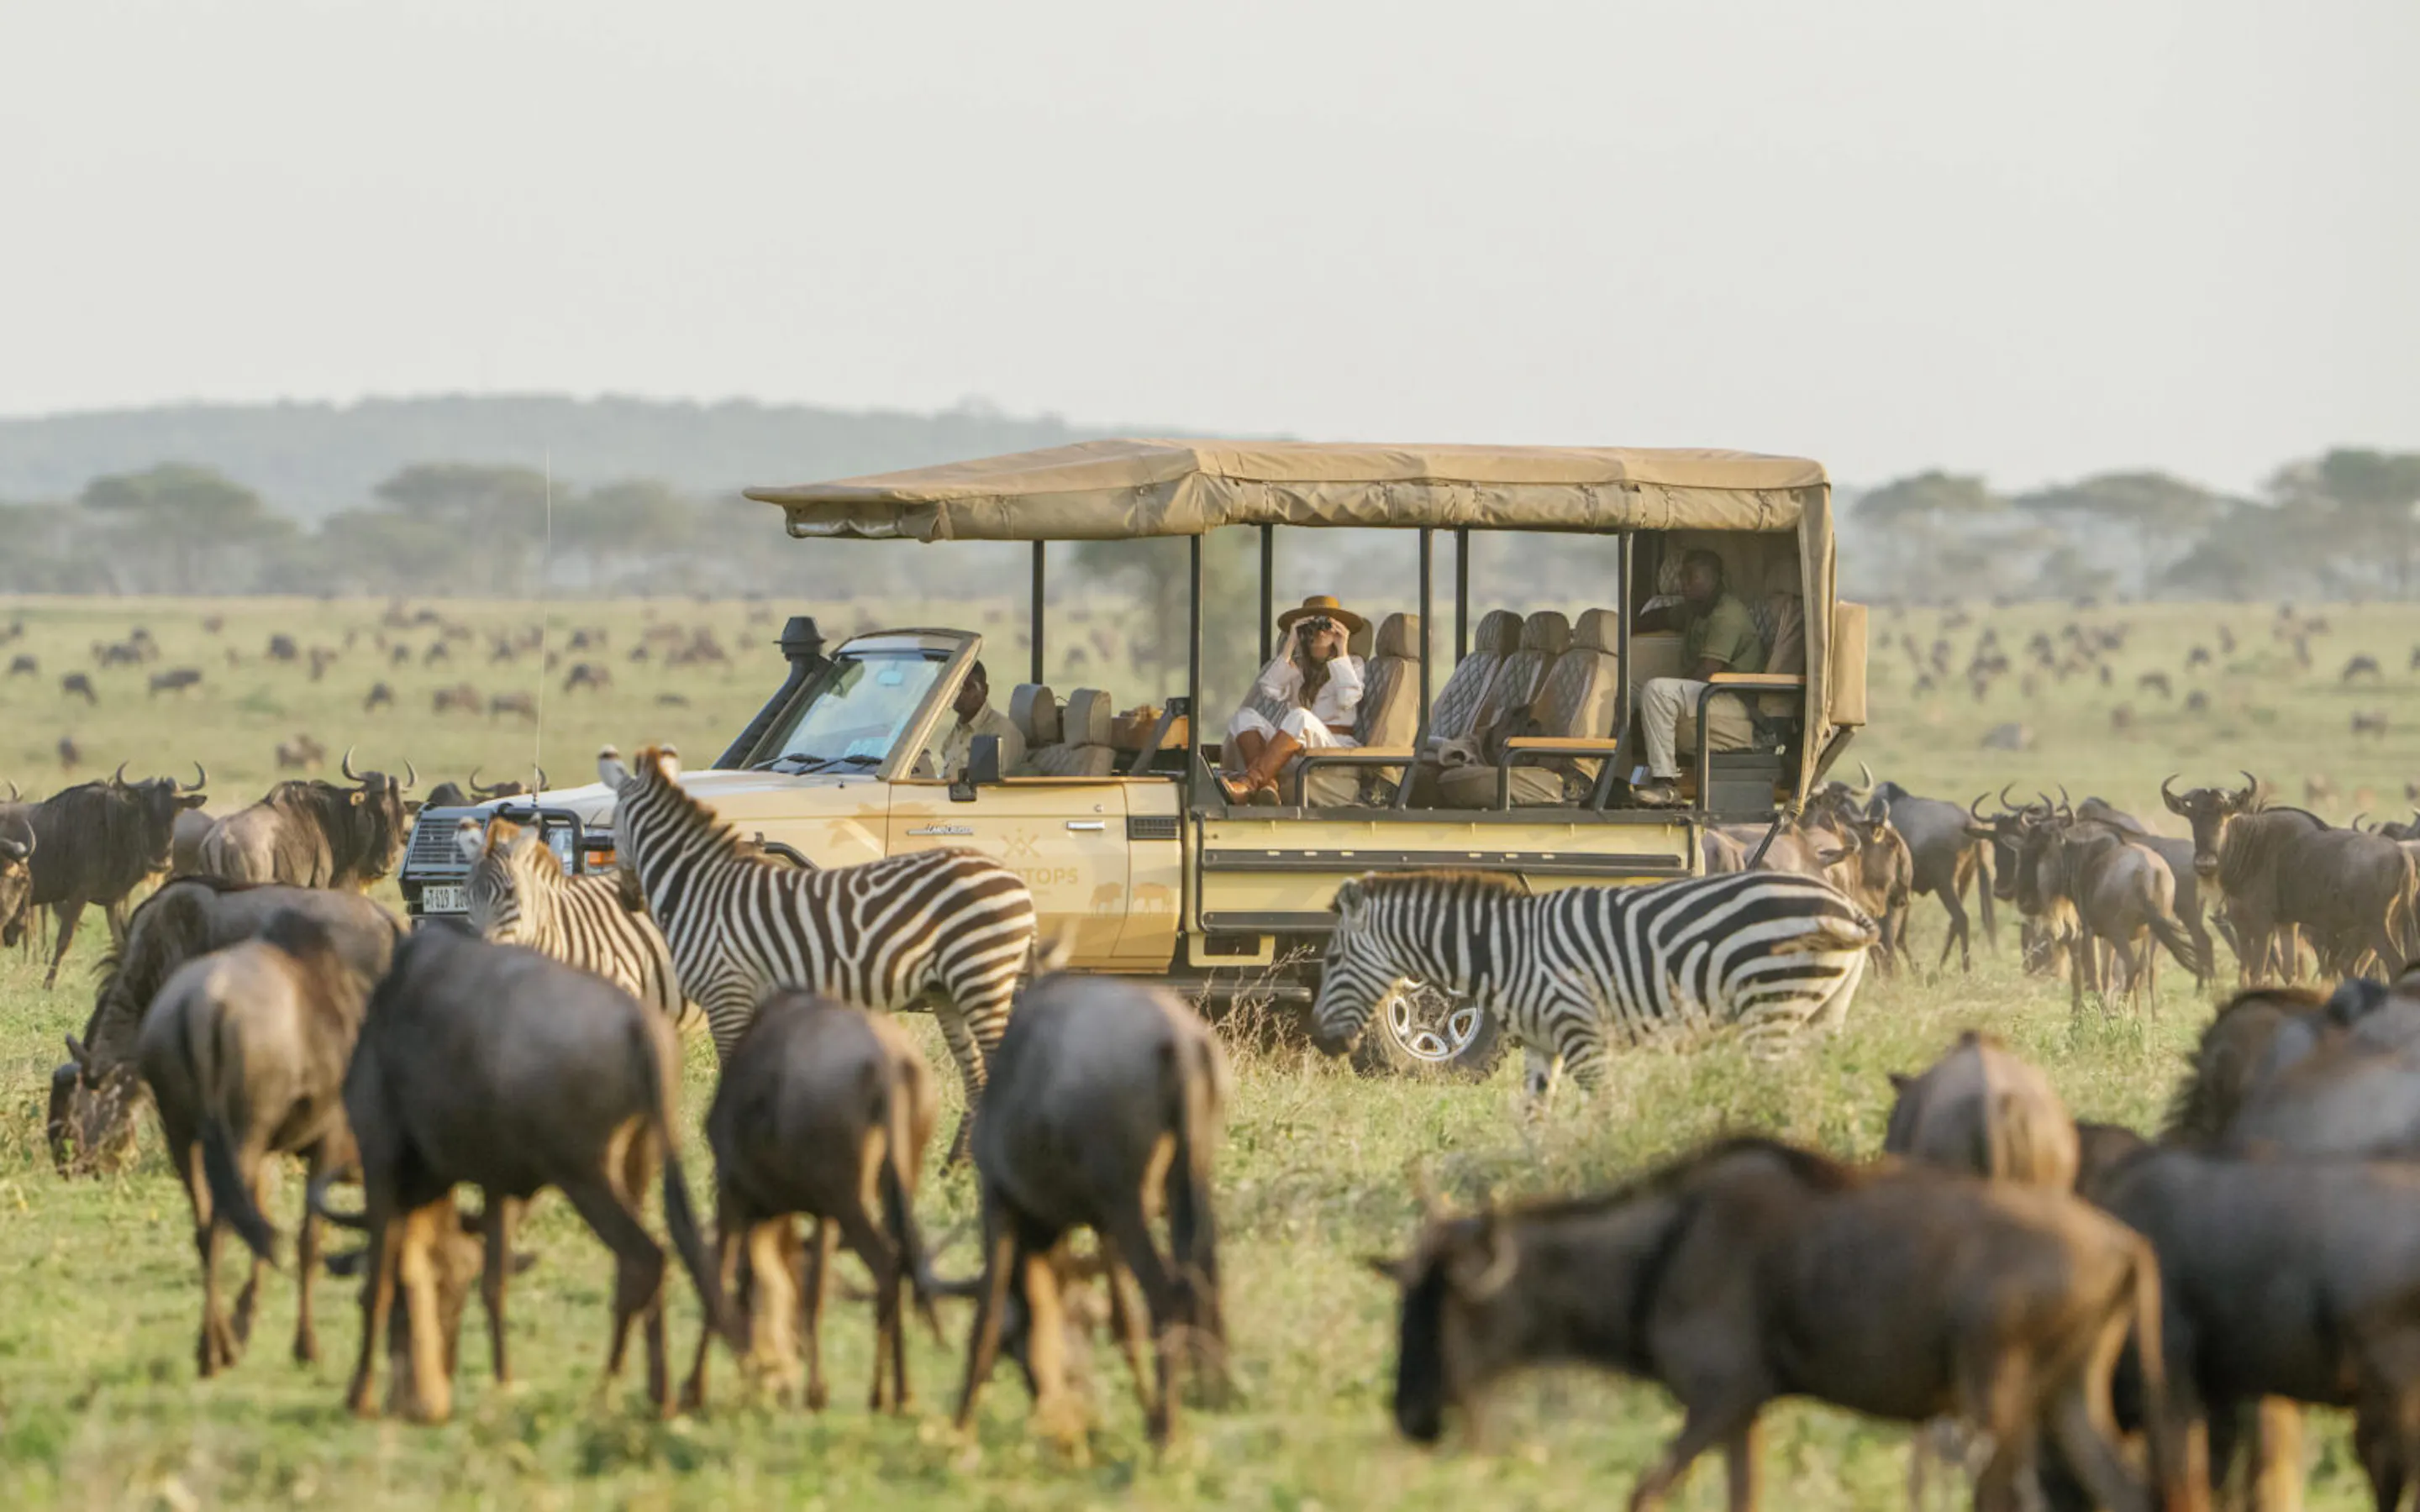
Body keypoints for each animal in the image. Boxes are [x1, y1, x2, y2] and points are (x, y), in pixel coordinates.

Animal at [612, 745, 1038, 1151]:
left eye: (613, 832)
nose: (628, 898)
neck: (703, 887)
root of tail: (1019, 883)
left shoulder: (728, 991)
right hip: (950, 988)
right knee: (977, 1076)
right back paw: (954, 1168)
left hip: (980, 974)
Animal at [1309, 869, 1877, 1119]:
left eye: (1331, 961)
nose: (1320, 1041)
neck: (1505, 950)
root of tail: (1848, 906)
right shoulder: (1542, 1044)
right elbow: (1533, 1117)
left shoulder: (1582, 1033)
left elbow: (1604, 1110)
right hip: (1823, 1012)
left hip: (1773, 1006)